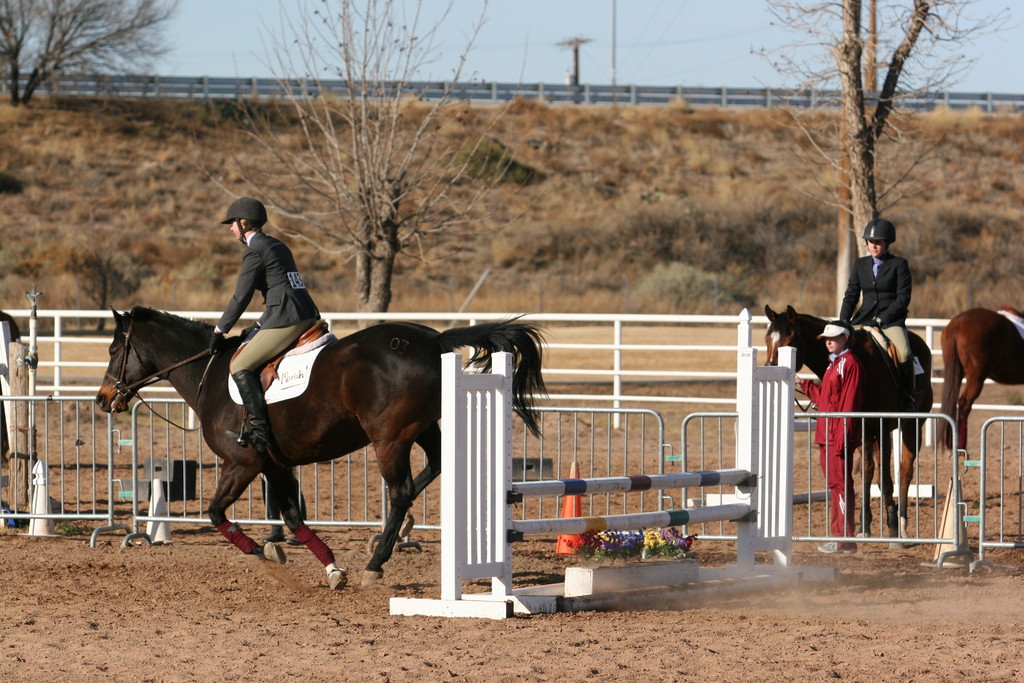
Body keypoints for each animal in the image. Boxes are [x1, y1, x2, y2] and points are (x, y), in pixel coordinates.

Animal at [95, 307, 544, 589]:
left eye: (114, 350)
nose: (103, 399)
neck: (211, 371)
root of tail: (432, 338)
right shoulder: (273, 464)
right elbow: (293, 517)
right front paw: (325, 565)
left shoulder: (241, 463)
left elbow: (216, 513)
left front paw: (260, 552)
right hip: (422, 428)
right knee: (431, 469)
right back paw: (392, 535)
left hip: (390, 437)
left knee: (400, 491)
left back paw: (376, 563)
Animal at [761, 307, 937, 540]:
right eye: (767, 339)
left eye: (789, 339)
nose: (770, 369)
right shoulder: (861, 430)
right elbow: (866, 473)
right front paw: (864, 525)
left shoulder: (881, 427)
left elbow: (885, 477)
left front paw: (891, 525)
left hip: (912, 425)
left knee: (905, 471)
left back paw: (902, 523)